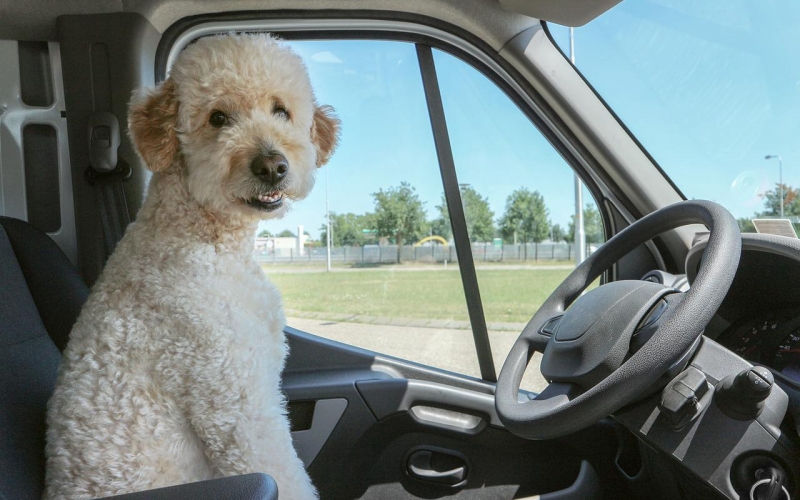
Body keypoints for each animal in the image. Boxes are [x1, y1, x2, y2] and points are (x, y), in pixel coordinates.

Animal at [44, 33, 338, 498]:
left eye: (281, 110)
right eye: (218, 118)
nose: (272, 166)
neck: (208, 240)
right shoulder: (236, 405)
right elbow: (284, 473)